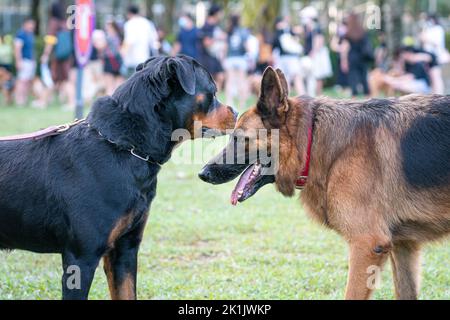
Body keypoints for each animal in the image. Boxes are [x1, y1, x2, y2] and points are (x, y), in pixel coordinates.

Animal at [0, 55, 237, 300]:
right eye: (213, 92)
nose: (236, 112)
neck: (124, 146)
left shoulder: (125, 249)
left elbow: (126, 291)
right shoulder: (81, 257)